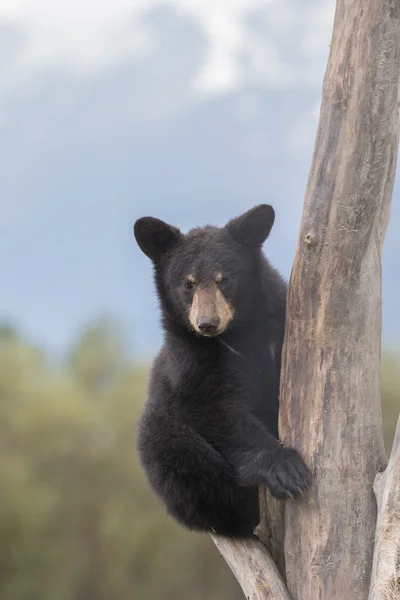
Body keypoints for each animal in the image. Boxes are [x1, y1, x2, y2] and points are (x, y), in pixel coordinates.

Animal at [134, 204, 310, 536]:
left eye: (224, 280)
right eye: (188, 283)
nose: (207, 323)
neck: (238, 333)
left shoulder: (277, 325)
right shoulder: (190, 360)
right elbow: (213, 407)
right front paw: (286, 469)